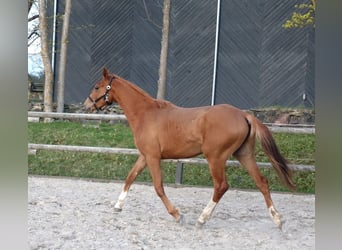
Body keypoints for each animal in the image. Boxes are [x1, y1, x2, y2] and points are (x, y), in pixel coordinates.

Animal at [84, 66, 296, 229]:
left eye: (97, 87)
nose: (87, 105)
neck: (146, 114)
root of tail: (244, 115)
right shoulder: (145, 156)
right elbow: (130, 177)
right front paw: (117, 206)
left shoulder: (153, 157)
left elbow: (158, 187)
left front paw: (178, 215)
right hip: (244, 155)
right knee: (262, 182)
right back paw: (277, 219)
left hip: (215, 158)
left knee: (221, 186)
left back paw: (202, 218)